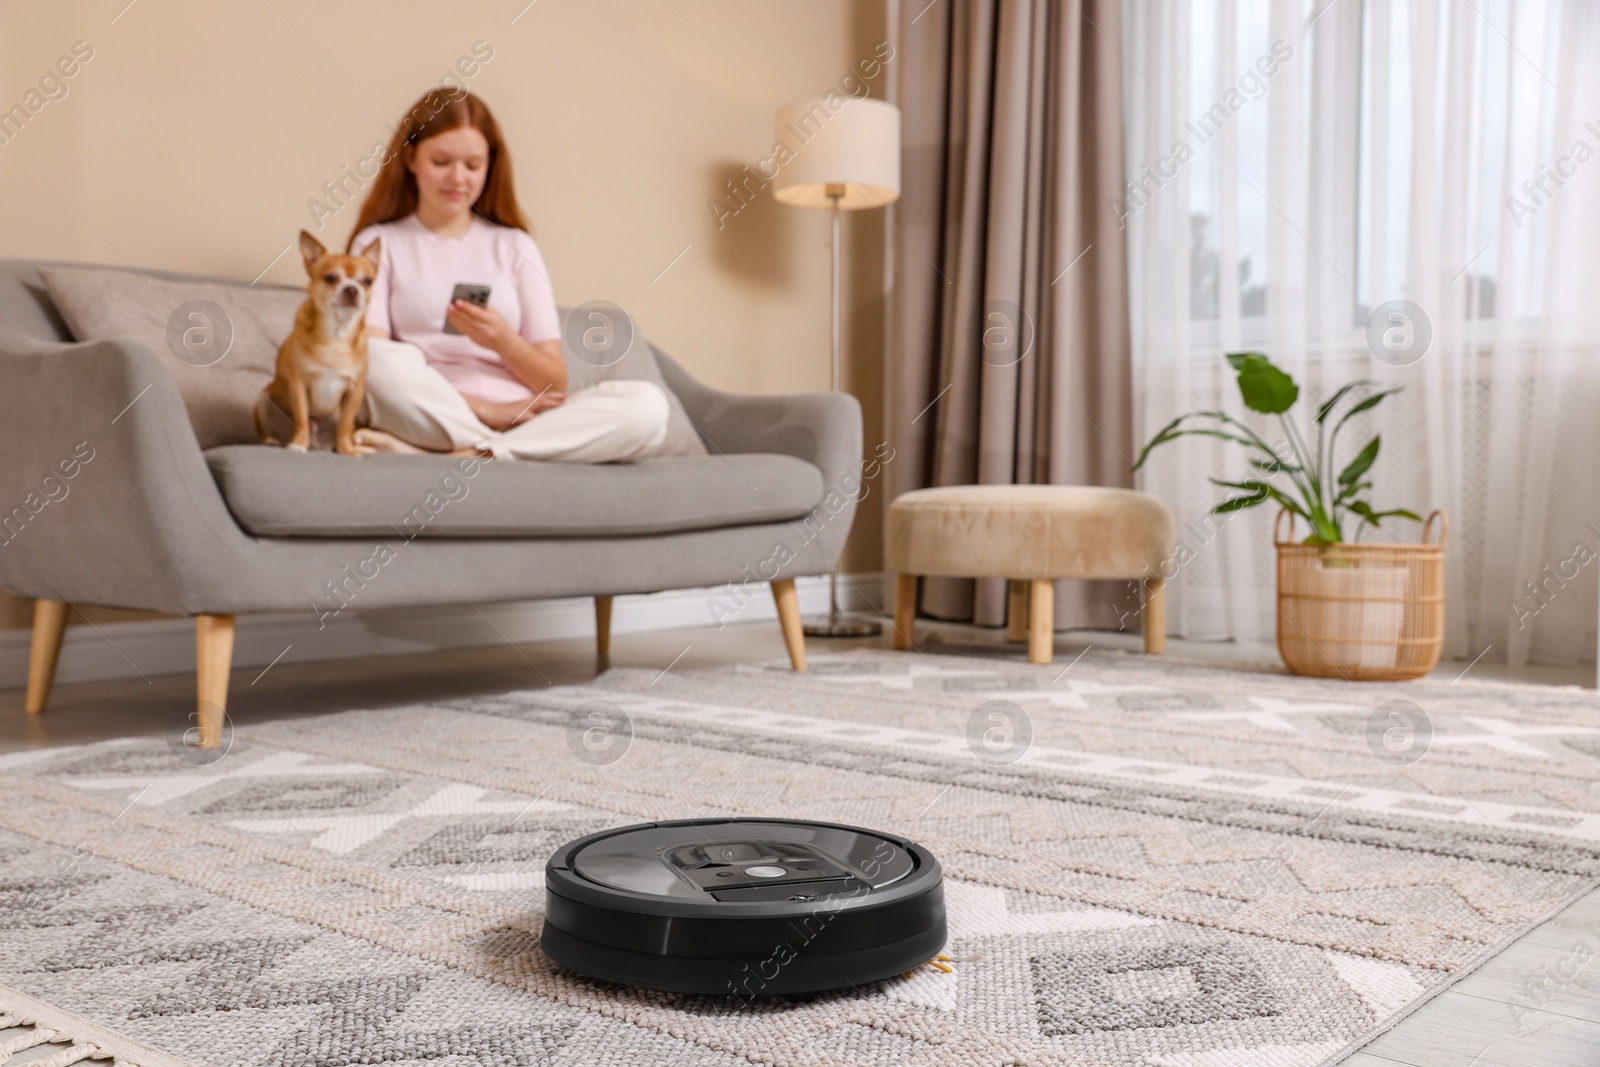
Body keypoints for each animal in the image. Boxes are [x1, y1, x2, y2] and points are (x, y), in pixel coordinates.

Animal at [256, 231, 380, 457]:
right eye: (331, 278)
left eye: (367, 281)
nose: (352, 289)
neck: (337, 335)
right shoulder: (299, 385)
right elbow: (302, 418)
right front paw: (298, 444)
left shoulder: (355, 391)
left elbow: (345, 424)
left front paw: (348, 450)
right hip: (264, 400)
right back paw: (271, 441)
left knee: (345, 428)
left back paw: (338, 446)